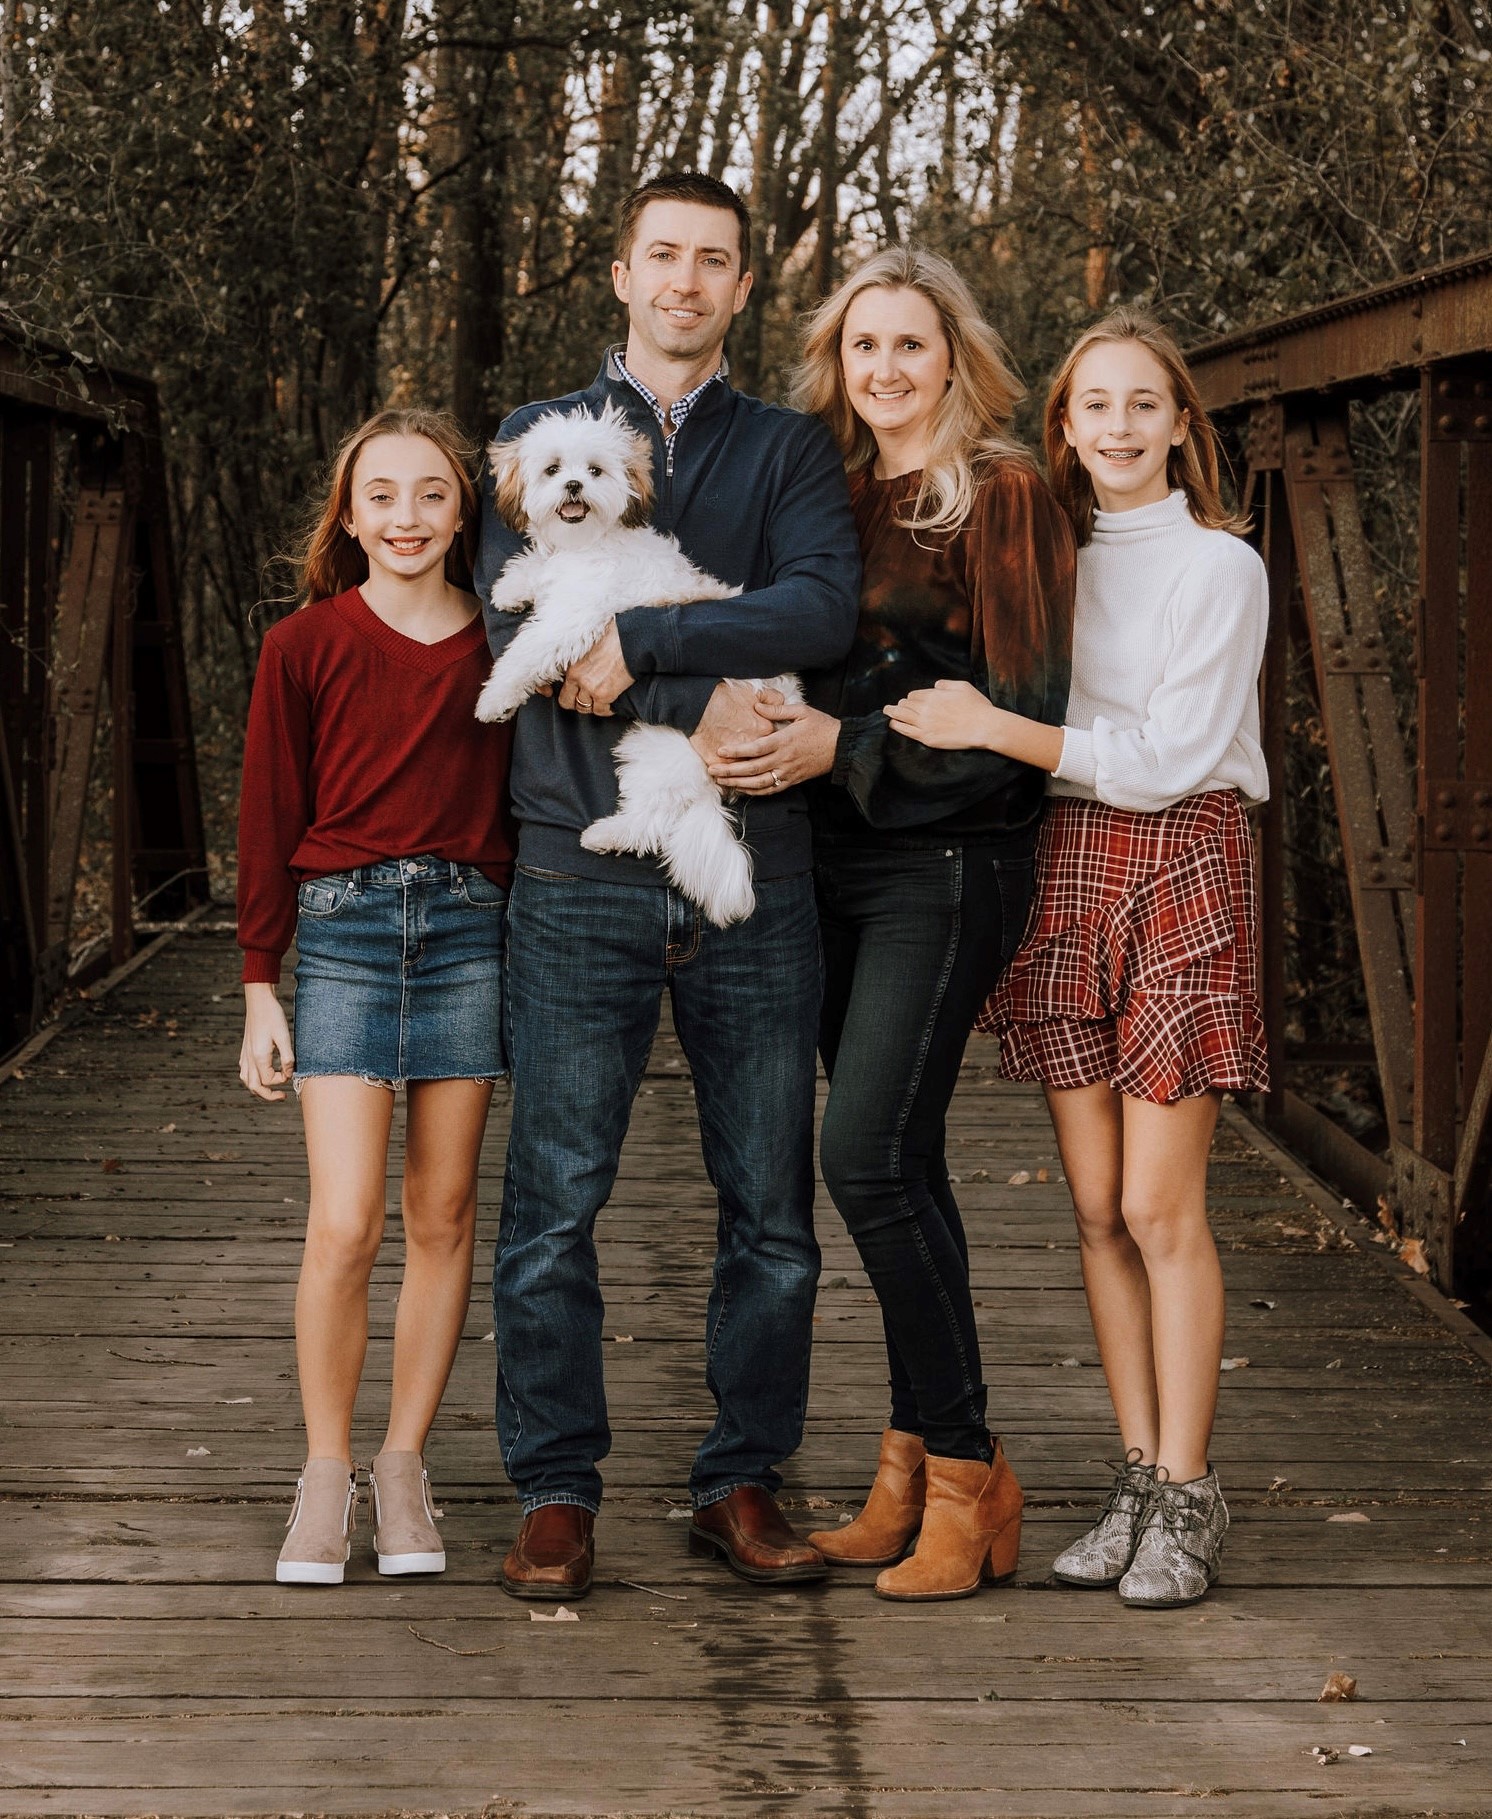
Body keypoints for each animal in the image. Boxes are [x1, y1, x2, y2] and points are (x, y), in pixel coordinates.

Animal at [476, 407, 804, 931]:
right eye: (552, 469)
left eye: (594, 471)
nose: (573, 485)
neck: (586, 543)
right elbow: (535, 566)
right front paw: (512, 588)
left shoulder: (574, 618)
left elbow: (528, 651)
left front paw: (495, 699)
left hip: (660, 749)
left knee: (654, 818)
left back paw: (605, 835)